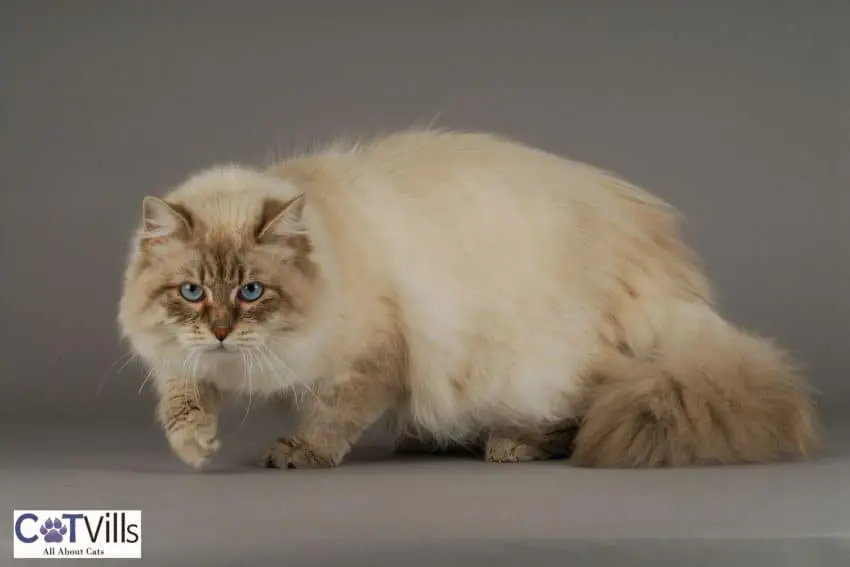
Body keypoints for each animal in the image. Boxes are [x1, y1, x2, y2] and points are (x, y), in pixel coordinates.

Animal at [117, 129, 816, 470]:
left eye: (252, 292)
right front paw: (196, 448)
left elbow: (333, 415)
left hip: (539, 360)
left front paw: (301, 453)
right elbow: (183, 399)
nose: (221, 331)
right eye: (193, 293)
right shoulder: (183, 359)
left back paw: (510, 446)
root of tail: (661, 259)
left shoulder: (370, 356)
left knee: (578, 414)